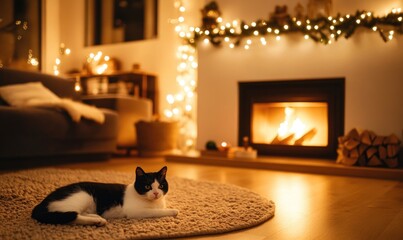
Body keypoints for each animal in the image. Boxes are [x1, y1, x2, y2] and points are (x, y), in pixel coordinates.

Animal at [31, 166, 177, 226]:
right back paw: (96, 221)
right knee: (71, 216)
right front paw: (173, 211)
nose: (156, 193)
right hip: (82, 195)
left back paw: (97, 217)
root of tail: (41, 204)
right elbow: (157, 212)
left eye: (161, 186)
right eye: (147, 187)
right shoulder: (135, 211)